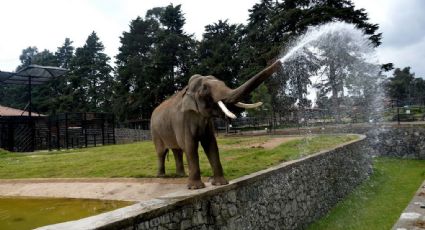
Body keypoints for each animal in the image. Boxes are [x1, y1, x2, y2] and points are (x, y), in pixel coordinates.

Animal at [150, 60, 282, 190]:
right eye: (205, 89)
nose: (279, 62)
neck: (186, 89)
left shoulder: (207, 123)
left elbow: (211, 144)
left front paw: (220, 183)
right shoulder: (181, 121)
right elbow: (190, 146)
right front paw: (195, 187)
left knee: (177, 151)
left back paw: (182, 175)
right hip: (155, 132)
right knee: (161, 152)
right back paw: (161, 176)